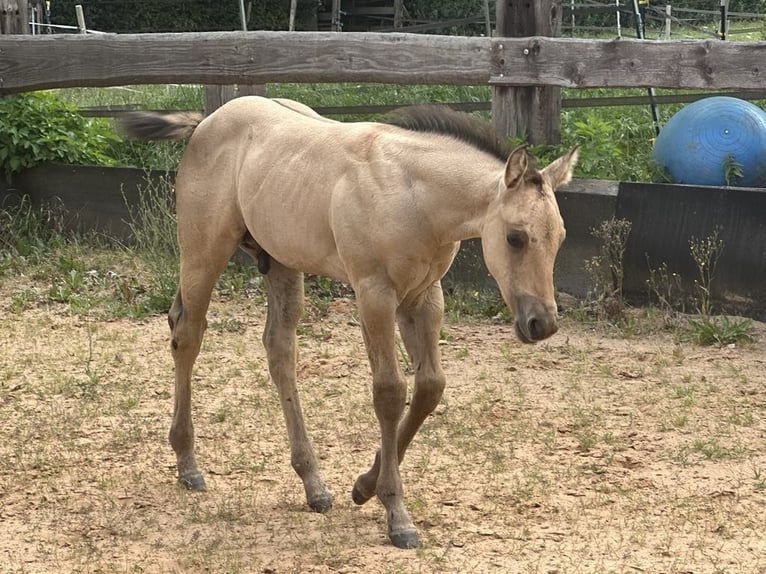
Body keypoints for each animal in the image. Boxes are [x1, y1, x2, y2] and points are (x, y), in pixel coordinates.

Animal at [119, 96, 578, 549]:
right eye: (515, 237)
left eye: (561, 237)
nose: (542, 323)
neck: (413, 196)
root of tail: (206, 121)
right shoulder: (375, 295)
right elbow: (390, 393)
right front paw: (396, 514)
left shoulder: (424, 297)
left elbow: (429, 388)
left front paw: (363, 486)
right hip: (203, 252)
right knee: (187, 336)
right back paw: (188, 463)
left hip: (282, 261)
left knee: (279, 350)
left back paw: (314, 485)